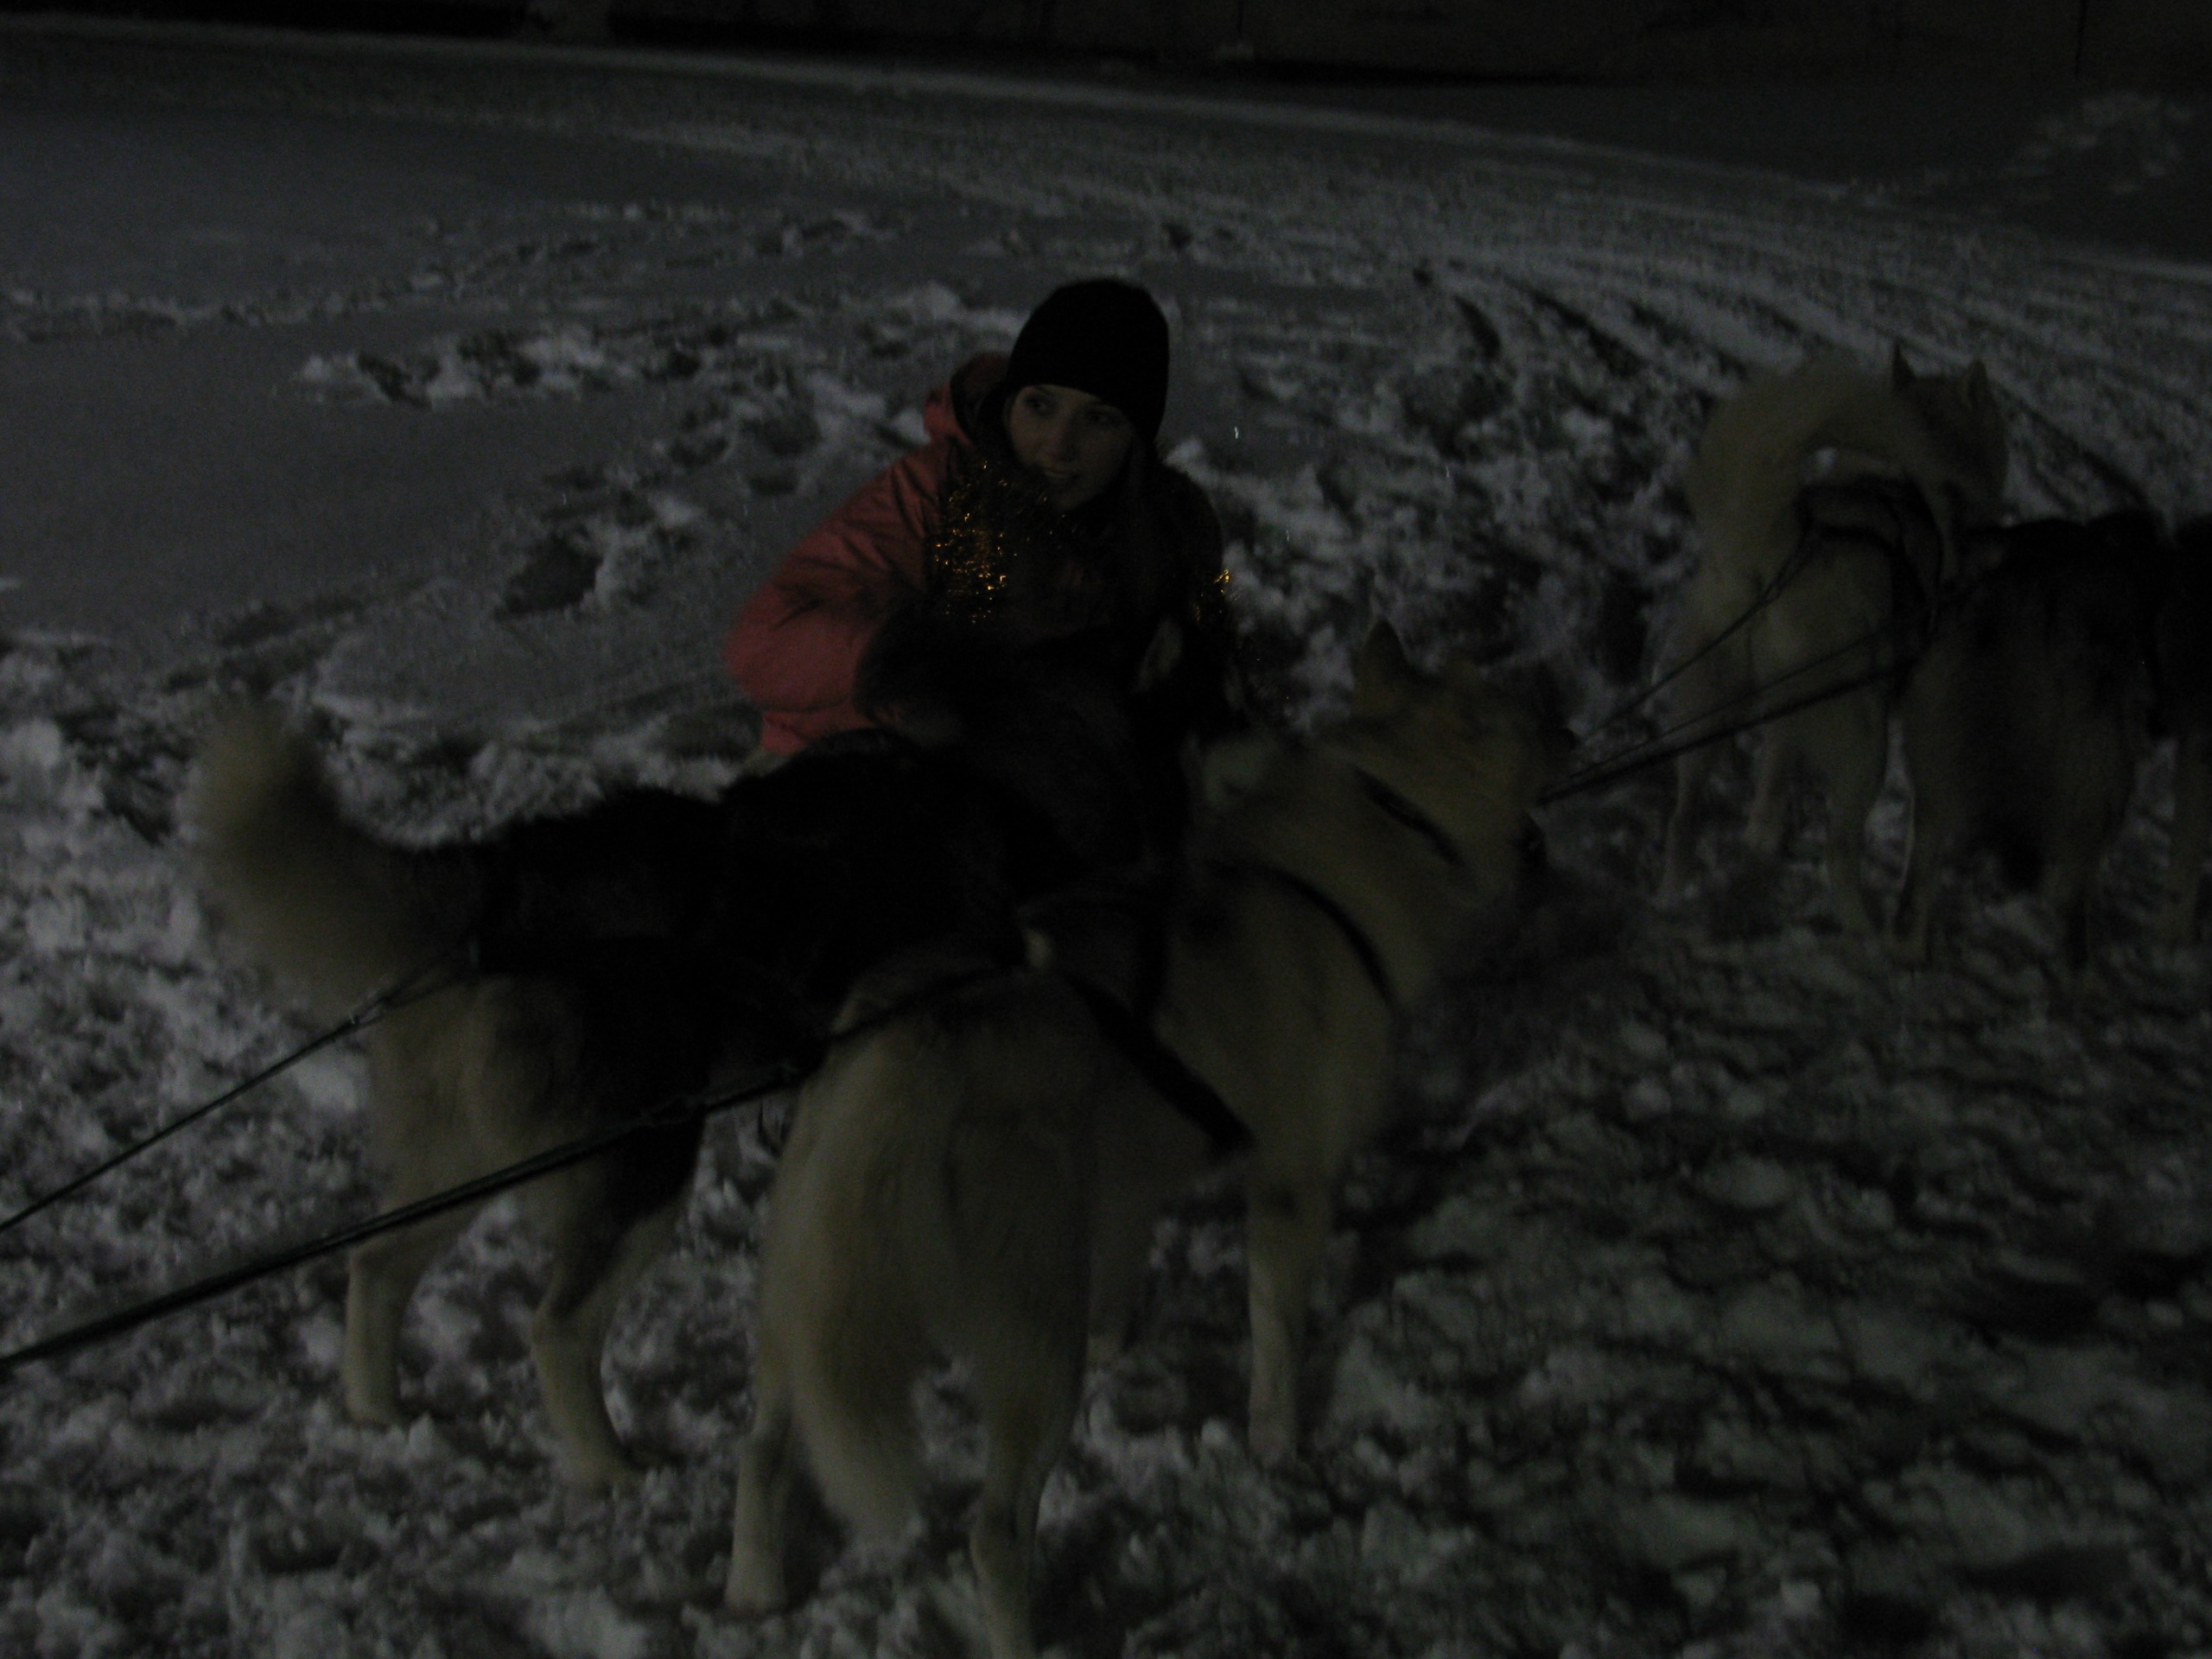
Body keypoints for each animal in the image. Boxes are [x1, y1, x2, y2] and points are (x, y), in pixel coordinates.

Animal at [186, 619, 1228, 1492]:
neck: (1011, 786)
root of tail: (506, 876)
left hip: (466, 1162)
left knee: (374, 1269)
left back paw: (378, 1412)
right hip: (641, 1168)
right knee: (555, 1329)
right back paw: (612, 1468)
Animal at [723, 622, 1558, 1657]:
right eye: (1524, 714)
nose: (1565, 717)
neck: (1366, 837)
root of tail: (909, 1042)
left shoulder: (1126, 1183)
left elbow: (1121, 1275)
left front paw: (1121, 1337)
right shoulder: (1290, 1182)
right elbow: (1276, 1331)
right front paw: (1275, 1437)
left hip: (800, 1309)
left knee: (761, 1448)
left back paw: (754, 1584)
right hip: (1029, 1357)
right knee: (994, 1535)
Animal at [1659, 348, 2008, 930]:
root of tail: (1780, 549)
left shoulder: (1786, 720)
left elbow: (1773, 778)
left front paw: (1761, 835)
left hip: (1710, 706)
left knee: (1685, 809)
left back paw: (1677, 886)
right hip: (1865, 745)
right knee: (1838, 851)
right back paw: (1864, 925)